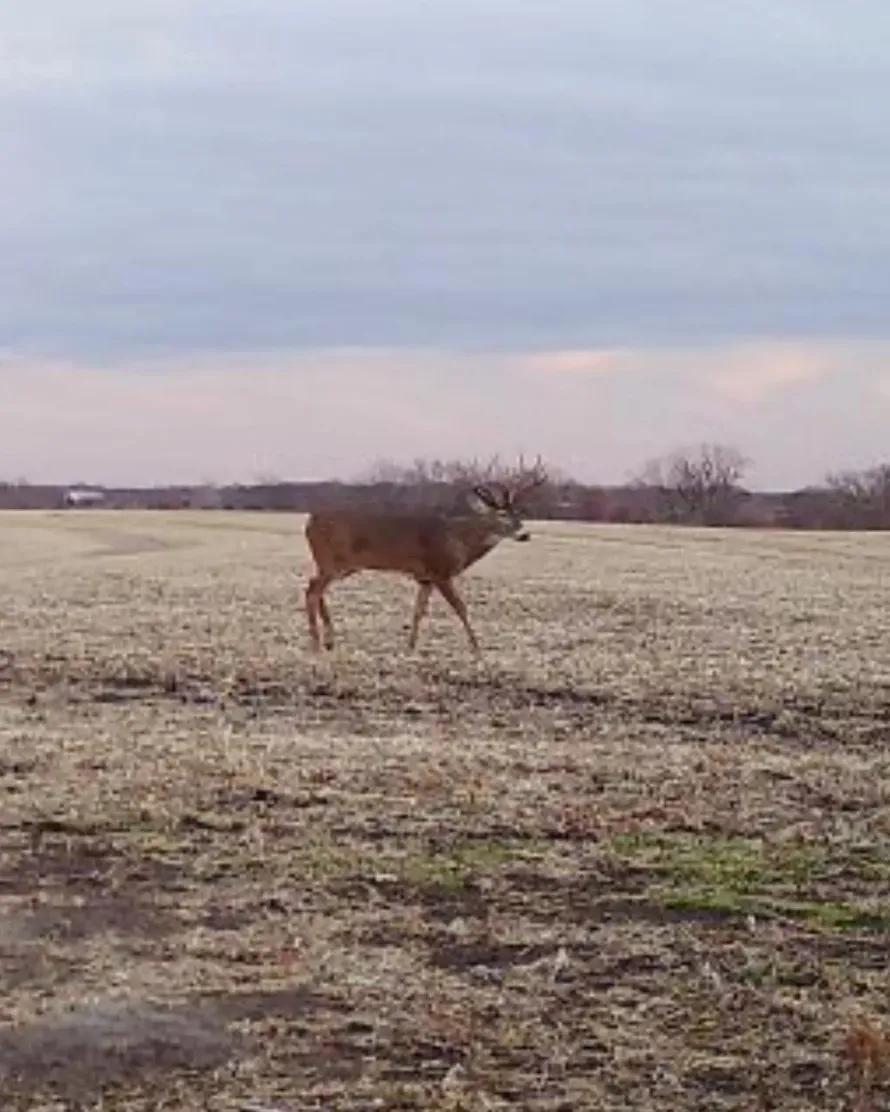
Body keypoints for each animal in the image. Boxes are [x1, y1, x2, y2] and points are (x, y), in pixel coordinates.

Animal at [304, 459, 547, 653]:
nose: (525, 534)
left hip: (336, 565)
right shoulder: (441, 571)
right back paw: (316, 644)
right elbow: (461, 607)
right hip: (332, 561)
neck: (460, 540)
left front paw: (410, 646)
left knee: (317, 588)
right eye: (502, 514)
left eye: (519, 514)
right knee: (312, 591)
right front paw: (477, 648)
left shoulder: (426, 578)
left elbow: (418, 611)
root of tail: (310, 522)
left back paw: (329, 642)